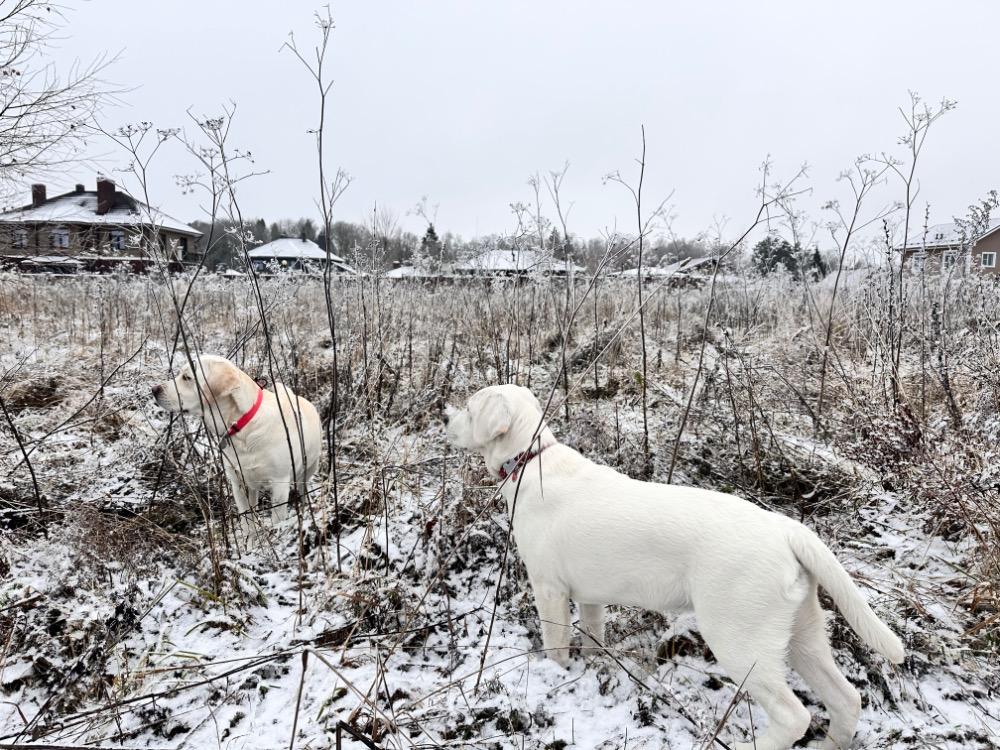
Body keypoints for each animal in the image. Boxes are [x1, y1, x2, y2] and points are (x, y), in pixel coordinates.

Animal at [152, 354, 322, 534]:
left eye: (187, 377)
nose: (154, 389)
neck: (243, 425)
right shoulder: (239, 484)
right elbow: (248, 523)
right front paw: (251, 541)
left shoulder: (279, 484)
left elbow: (277, 520)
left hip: (308, 469)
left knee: (304, 489)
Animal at [446, 384, 904, 750]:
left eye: (468, 408)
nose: (445, 417)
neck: (530, 461)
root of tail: (787, 529)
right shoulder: (591, 596)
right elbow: (593, 634)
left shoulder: (549, 588)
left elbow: (556, 645)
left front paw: (554, 678)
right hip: (802, 633)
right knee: (847, 699)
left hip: (739, 638)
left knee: (794, 715)